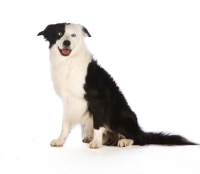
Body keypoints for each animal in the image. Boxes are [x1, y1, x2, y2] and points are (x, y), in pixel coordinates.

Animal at [37, 22, 195, 148]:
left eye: (73, 35)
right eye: (59, 34)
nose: (66, 43)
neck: (69, 62)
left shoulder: (97, 99)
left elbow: (98, 123)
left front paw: (96, 142)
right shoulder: (68, 100)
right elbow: (65, 123)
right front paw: (60, 141)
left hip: (119, 116)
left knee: (140, 139)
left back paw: (124, 141)